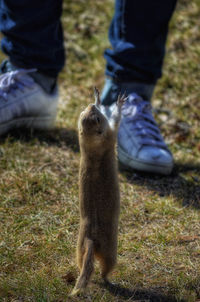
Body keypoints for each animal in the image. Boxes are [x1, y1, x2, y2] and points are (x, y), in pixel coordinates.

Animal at [71, 87, 126, 294]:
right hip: (111, 251)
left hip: (78, 248)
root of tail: (91, 240)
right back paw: (110, 281)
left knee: (82, 263)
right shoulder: (110, 135)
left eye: (82, 114)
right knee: (104, 269)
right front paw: (118, 102)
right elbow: (115, 121)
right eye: (96, 119)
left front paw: (97, 98)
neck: (89, 145)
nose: (90, 106)